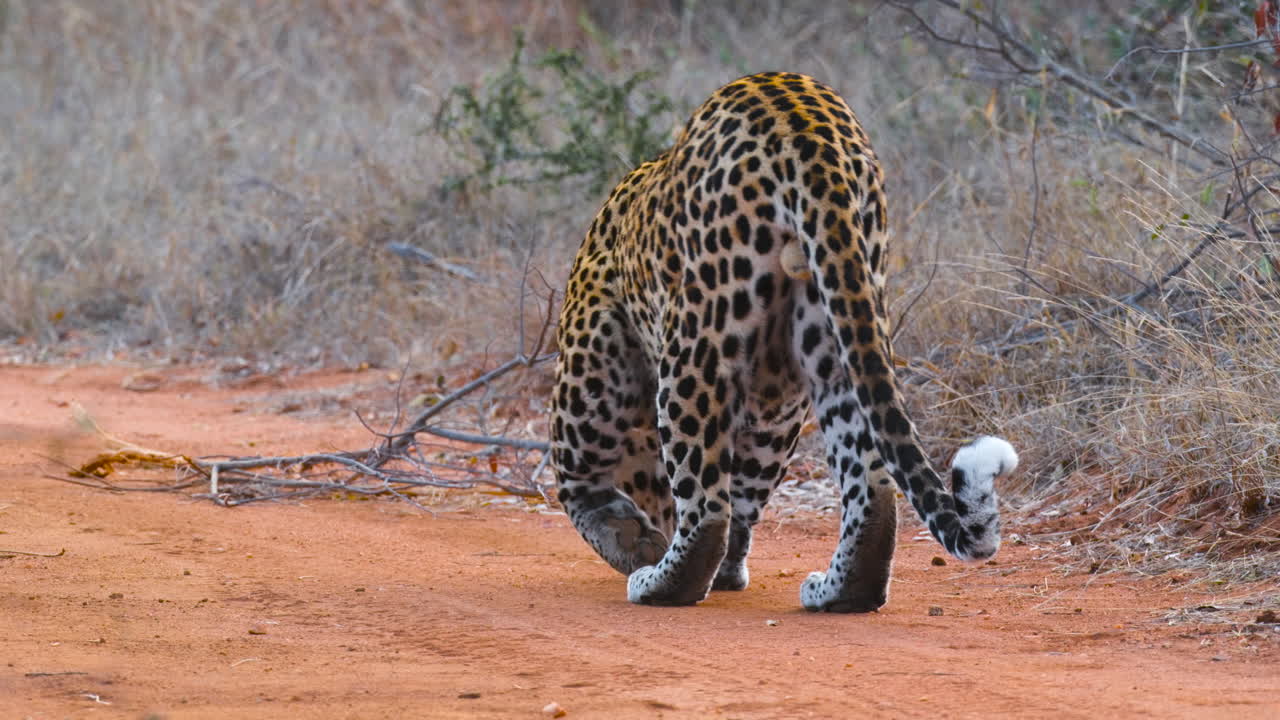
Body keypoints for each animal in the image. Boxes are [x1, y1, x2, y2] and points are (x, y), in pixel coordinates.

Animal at [549, 71, 1018, 612]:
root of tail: (810, 129)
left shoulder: (588, 367)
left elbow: (584, 487)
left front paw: (635, 542)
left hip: (699, 337)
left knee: (706, 505)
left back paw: (660, 582)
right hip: (834, 330)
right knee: (870, 480)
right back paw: (839, 590)